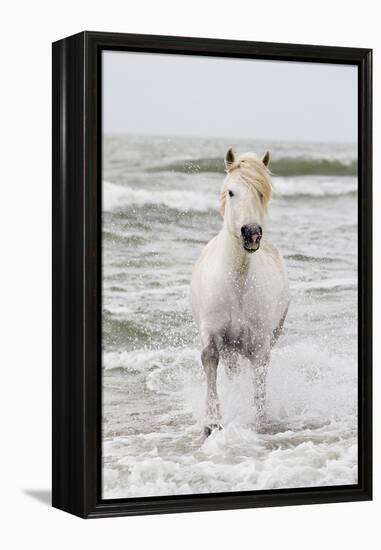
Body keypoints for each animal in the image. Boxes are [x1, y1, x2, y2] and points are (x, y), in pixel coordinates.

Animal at [190, 149, 288, 438]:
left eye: (261, 193)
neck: (237, 284)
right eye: (231, 192)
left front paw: (260, 420)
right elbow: (210, 361)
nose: (252, 233)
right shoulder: (212, 333)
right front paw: (212, 422)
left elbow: (259, 377)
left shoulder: (260, 343)